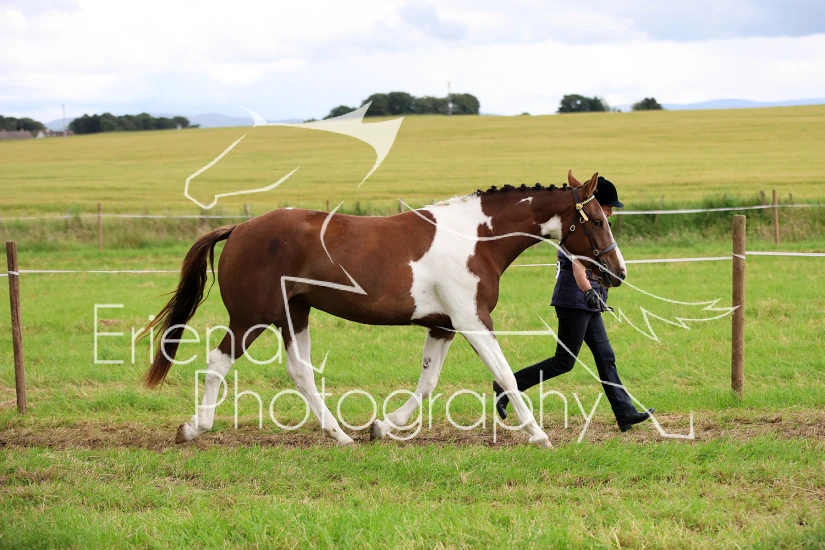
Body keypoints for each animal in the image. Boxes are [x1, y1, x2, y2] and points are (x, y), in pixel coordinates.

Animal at [143, 171, 626, 447]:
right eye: (599, 219)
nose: (617, 273)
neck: (475, 239)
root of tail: (241, 228)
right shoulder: (473, 321)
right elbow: (505, 374)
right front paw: (539, 436)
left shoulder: (444, 326)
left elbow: (428, 383)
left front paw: (382, 427)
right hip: (251, 318)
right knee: (216, 363)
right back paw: (193, 429)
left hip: (292, 315)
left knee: (301, 374)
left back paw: (342, 437)